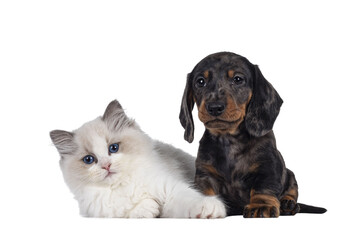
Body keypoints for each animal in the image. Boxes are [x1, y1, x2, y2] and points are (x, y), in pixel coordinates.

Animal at [50, 99, 225, 218]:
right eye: (89, 160)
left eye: (113, 148)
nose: (106, 166)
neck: (125, 185)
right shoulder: (104, 210)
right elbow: (134, 210)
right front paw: (149, 208)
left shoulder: (170, 190)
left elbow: (190, 199)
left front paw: (210, 208)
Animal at [179, 52, 326, 218]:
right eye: (200, 81)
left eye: (238, 79)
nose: (215, 107)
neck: (229, 140)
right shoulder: (205, 174)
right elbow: (205, 190)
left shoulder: (268, 166)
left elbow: (263, 187)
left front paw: (261, 206)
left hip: (290, 174)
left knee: (292, 190)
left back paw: (288, 204)